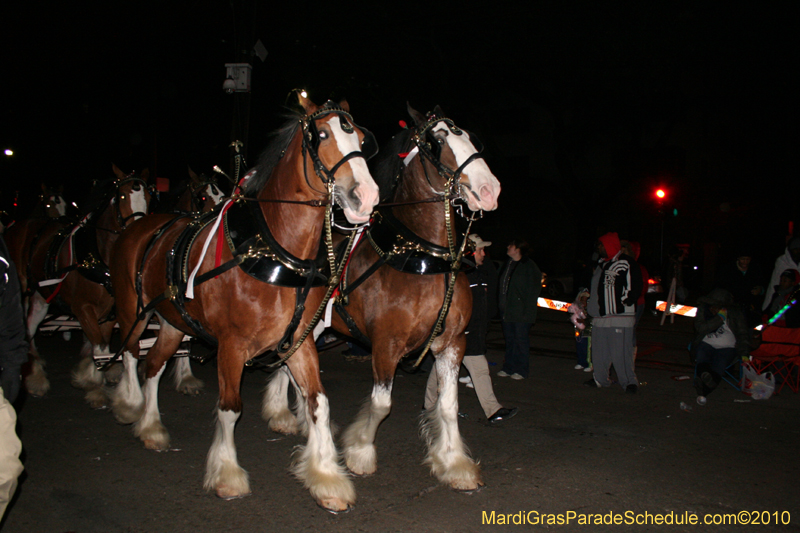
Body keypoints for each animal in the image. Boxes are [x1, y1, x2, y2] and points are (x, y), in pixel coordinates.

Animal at [19, 164, 154, 402]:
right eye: (121, 196)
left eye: (147, 196)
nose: (139, 233)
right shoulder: (82, 309)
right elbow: (98, 347)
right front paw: (95, 388)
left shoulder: (110, 313)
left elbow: (103, 347)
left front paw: (96, 376)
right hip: (34, 292)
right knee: (30, 327)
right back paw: (35, 376)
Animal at [109, 94, 382, 508]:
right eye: (320, 135)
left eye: (362, 141)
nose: (365, 197)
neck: (273, 251)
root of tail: (140, 225)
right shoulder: (231, 345)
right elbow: (230, 408)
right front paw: (227, 473)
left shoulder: (298, 341)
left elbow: (318, 402)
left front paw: (326, 477)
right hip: (134, 311)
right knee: (128, 354)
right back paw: (129, 404)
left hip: (173, 321)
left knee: (153, 365)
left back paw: (151, 427)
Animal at [262, 106, 500, 492]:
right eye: (436, 142)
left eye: (469, 137)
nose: (489, 188)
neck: (422, 260)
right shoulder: (386, 344)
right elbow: (381, 404)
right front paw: (359, 451)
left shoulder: (452, 343)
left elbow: (448, 406)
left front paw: (453, 462)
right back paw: (284, 413)